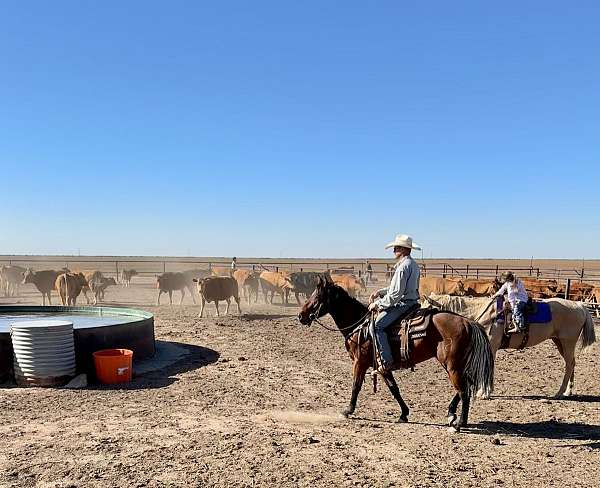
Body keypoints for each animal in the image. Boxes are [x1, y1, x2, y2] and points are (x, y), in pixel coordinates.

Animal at [298, 276, 494, 432]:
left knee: (464, 391)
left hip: (452, 366)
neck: (359, 325)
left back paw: (459, 423)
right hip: (456, 365)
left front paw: (348, 410)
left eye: (317, 296)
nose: (301, 316)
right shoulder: (382, 366)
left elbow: (356, 385)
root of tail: (468, 322)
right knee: (466, 386)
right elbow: (394, 389)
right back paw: (451, 414)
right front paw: (404, 414)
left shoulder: (359, 362)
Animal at [428, 292, 596, 398]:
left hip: (567, 342)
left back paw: (559, 393)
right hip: (559, 341)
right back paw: (568, 391)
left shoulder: (492, 346)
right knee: (572, 363)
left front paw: (484, 393)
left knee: (569, 364)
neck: (487, 315)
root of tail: (580, 306)